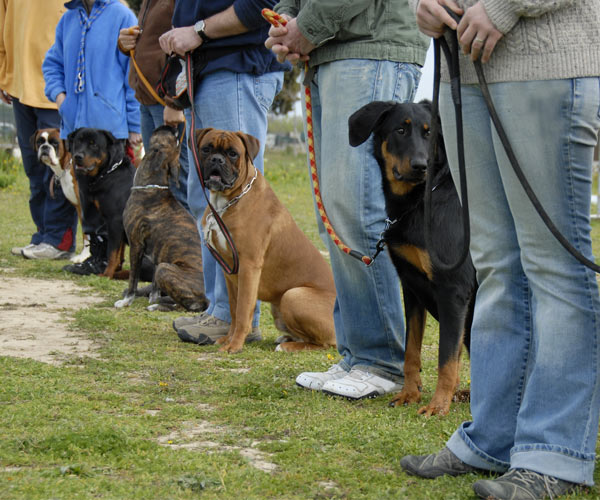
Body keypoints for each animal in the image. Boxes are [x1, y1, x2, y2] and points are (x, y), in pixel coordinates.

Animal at [31, 127, 90, 264]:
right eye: (39, 142)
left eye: (55, 143)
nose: (45, 147)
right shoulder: (79, 207)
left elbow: (88, 235)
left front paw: (86, 256)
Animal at [67, 127, 134, 280]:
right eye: (78, 142)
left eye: (94, 145)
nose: (78, 156)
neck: (108, 173)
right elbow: (119, 251)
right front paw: (116, 271)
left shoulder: (115, 221)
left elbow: (112, 253)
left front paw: (107, 274)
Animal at [115, 126, 209, 312]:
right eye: (176, 139)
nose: (174, 127)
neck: (153, 187)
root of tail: (209, 300)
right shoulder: (158, 254)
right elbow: (154, 285)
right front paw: (153, 296)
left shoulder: (136, 245)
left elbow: (133, 279)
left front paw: (127, 300)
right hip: (163, 266)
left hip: (165, 269)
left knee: (184, 306)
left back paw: (158, 306)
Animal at [197, 128, 338, 356]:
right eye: (206, 149)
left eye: (233, 153)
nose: (216, 159)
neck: (229, 200)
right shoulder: (230, 273)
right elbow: (234, 311)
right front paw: (227, 339)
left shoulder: (248, 267)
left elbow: (243, 312)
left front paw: (234, 345)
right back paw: (286, 337)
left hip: (293, 295)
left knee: (323, 344)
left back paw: (288, 345)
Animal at [350, 99, 476, 416]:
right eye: (400, 130)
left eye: (430, 134)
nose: (421, 166)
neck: (420, 200)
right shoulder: (411, 286)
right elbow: (411, 351)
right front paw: (409, 394)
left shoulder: (453, 290)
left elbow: (446, 358)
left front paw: (438, 405)